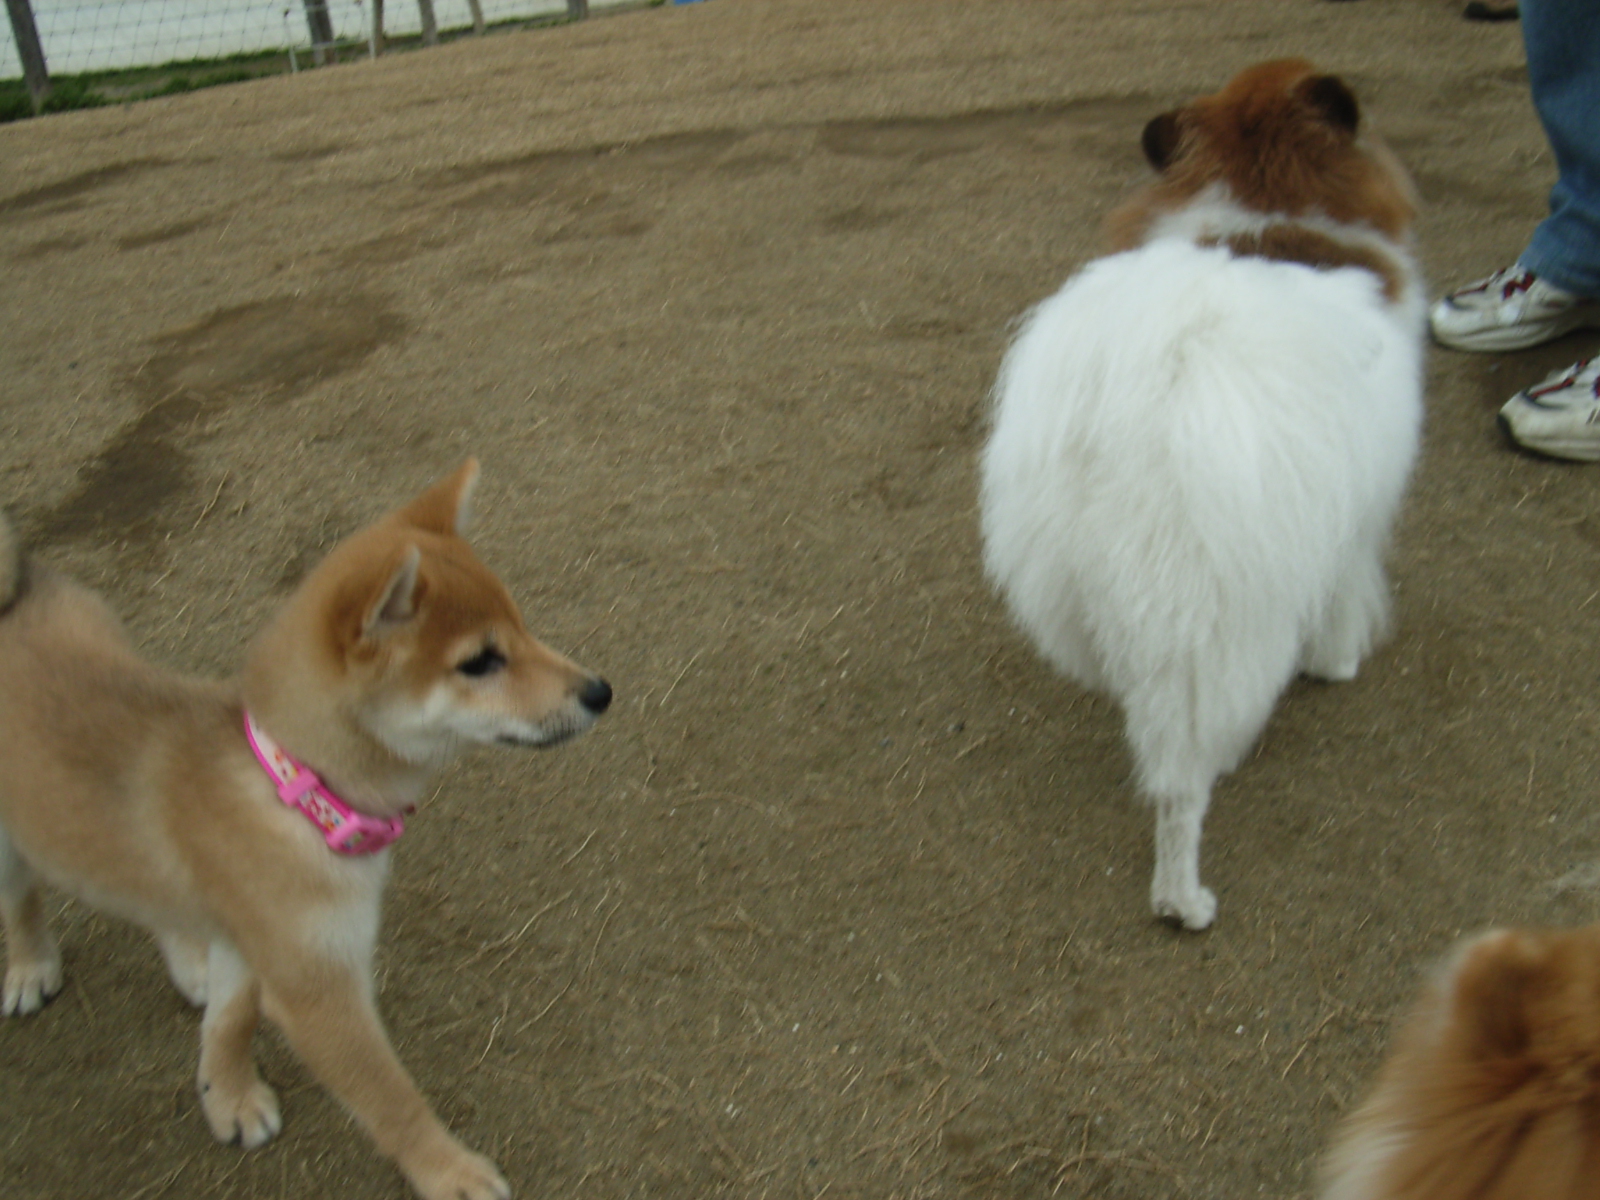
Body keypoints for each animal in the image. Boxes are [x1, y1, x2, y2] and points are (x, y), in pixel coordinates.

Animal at [0, 460, 611, 1200]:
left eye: (520, 628)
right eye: (479, 662)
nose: (600, 692)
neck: (297, 791)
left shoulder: (264, 943)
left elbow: (231, 1021)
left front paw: (226, 1096)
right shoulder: (319, 990)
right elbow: (391, 1099)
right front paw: (448, 1170)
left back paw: (186, 958)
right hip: (7, 845)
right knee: (21, 896)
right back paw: (30, 965)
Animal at [979, 59, 1424, 930]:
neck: (1265, 200)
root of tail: (1130, 403)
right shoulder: (1354, 516)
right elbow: (1346, 597)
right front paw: (1338, 663)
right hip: (1207, 618)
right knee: (1179, 785)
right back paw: (1183, 898)